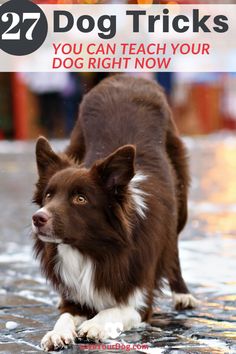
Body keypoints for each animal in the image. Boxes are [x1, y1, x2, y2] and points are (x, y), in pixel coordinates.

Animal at [31, 74, 197, 352]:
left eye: (80, 199)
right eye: (48, 196)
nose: (38, 218)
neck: (93, 250)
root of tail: (127, 77)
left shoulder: (140, 300)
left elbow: (116, 309)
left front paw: (94, 325)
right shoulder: (75, 296)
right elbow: (65, 314)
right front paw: (57, 332)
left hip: (181, 198)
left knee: (173, 245)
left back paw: (183, 294)